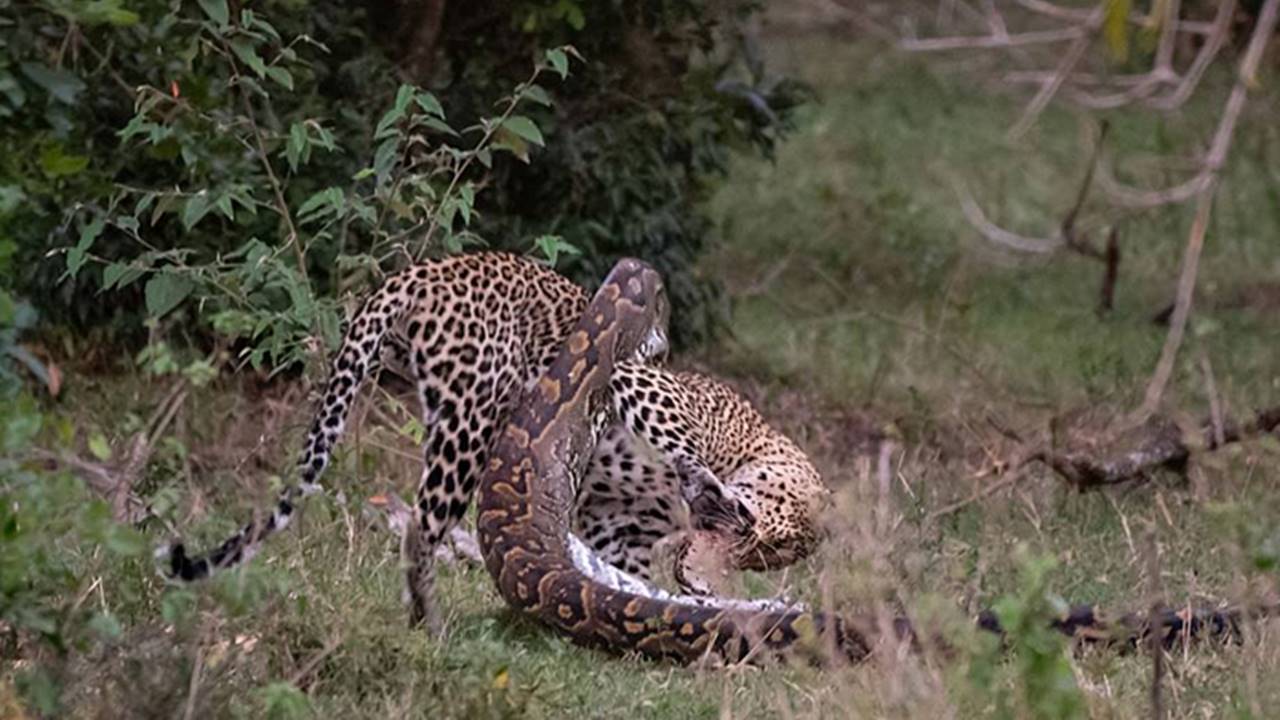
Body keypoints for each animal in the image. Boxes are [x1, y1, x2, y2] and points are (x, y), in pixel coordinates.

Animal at [167, 249, 829, 625]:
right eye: (763, 537)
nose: (726, 543)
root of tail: (416, 276)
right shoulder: (647, 385)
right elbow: (677, 439)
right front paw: (702, 482)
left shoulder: (619, 532)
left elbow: (621, 572)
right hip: (471, 419)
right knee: (420, 529)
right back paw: (427, 624)